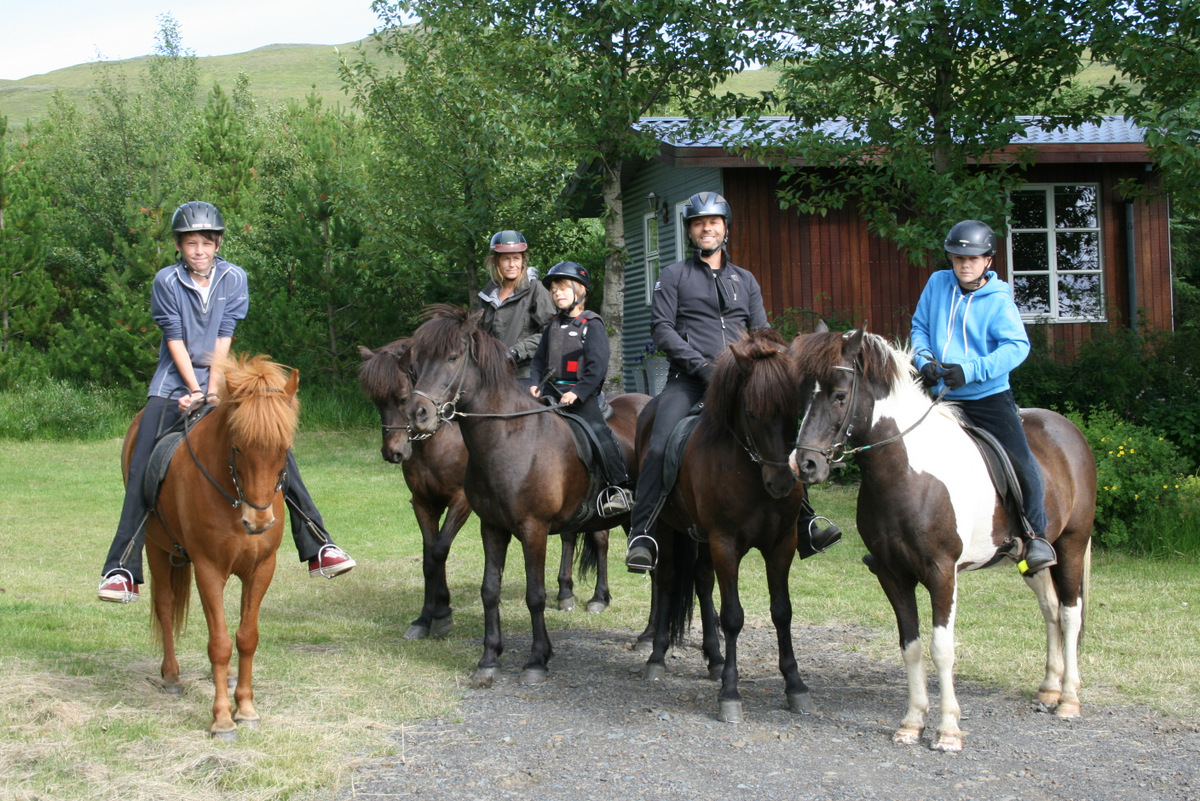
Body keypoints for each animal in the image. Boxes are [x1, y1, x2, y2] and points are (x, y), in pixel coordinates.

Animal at [131, 354, 299, 741]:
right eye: (237, 447)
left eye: (284, 449)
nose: (258, 522)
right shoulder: (208, 568)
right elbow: (219, 643)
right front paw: (222, 718)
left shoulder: (261, 568)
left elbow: (246, 637)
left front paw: (247, 708)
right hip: (155, 547)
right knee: (165, 607)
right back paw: (171, 676)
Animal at [357, 341, 613, 640]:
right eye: (377, 401)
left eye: (401, 397)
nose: (393, 452)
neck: (441, 442)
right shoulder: (423, 503)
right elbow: (429, 558)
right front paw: (424, 619)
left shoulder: (461, 501)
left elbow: (440, 550)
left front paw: (442, 613)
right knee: (569, 536)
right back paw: (565, 593)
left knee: (600, 538)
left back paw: (599, 597)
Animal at [405, 304, 649, 688]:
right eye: (415, 363)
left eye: (453, 357)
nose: (418, 415)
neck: (510, 436)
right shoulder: (492, 527)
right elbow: (489, 591)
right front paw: (489, 658)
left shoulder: (534, 529)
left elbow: (535, 596)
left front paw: (537, 659)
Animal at [640, 327, 817, 723]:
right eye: (751, 412)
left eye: (795, 412)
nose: (782, 484)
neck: (750, 473)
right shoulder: (726, 543)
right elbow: (733, 616)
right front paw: (730, 694)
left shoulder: (781, 543)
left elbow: (782, 611)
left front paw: (795, 686)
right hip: (667, 530)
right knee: (668, 581)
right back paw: (657, 657)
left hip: (703, 540)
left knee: (703, 582)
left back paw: (715, 658)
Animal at [788, 325, 1096, 752]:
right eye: (805, 395)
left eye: (839, 395)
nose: (804, 464)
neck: (909, 473)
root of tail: (1069, 431)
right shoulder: (892, 574)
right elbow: (912, 646)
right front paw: (912, 723)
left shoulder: (941, 573)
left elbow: (942, 648)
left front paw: (948, 730)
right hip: (1033, 560)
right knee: (1050, 609)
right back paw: (1049, 689)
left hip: (1071, 545)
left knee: (1069, 614)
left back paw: (1068, 700)